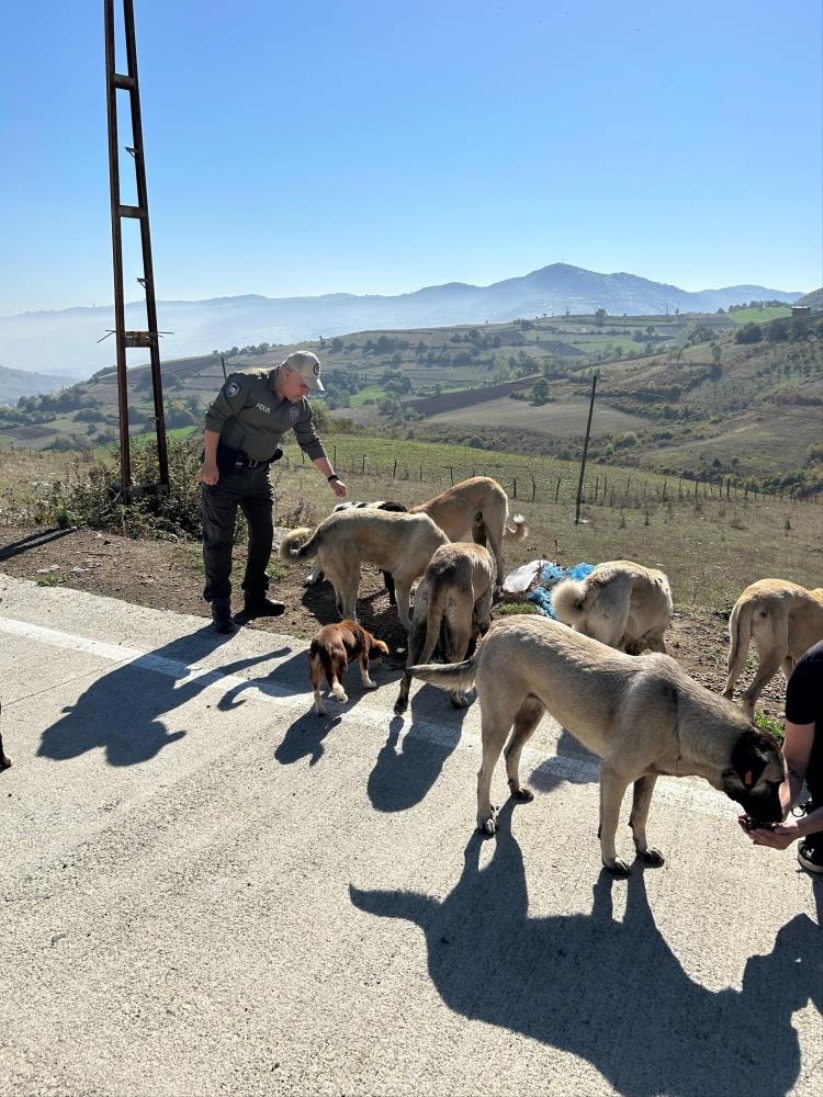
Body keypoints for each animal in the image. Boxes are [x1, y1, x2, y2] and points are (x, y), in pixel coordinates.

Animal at [278, 504, 452, 627]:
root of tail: (322, 528)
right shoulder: (402, 580)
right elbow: (403, 611)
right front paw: (409, 628)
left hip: (342, 580)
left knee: (341, 607)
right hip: (352, 579)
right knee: (348, 611)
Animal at [395, 541, 495, 715]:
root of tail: (441, 572)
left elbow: (443, 636)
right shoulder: (484, 604)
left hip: (419, 622)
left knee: (408, 667)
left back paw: (402, 701)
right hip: (461, 630)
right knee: (454, 682)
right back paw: (457, 700)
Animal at [410, 618, 790, 873]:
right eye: (772, 784)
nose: (781, 819)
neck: (681, 713)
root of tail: (496, 628)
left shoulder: (647, 778)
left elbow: (639, 817)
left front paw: (641, 850)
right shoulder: (615, 775)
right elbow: (614, 820)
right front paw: (610, 858)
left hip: (531, 714)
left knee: (511, 752)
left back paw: (516, 789)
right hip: (499, 720)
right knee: (483, 772)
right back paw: (483, 817)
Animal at [724, 574, 820, 719]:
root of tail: (754, 596)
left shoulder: (789, 660)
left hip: (737, 650)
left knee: (728, 691)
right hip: (774, 656)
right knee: (750, 695)